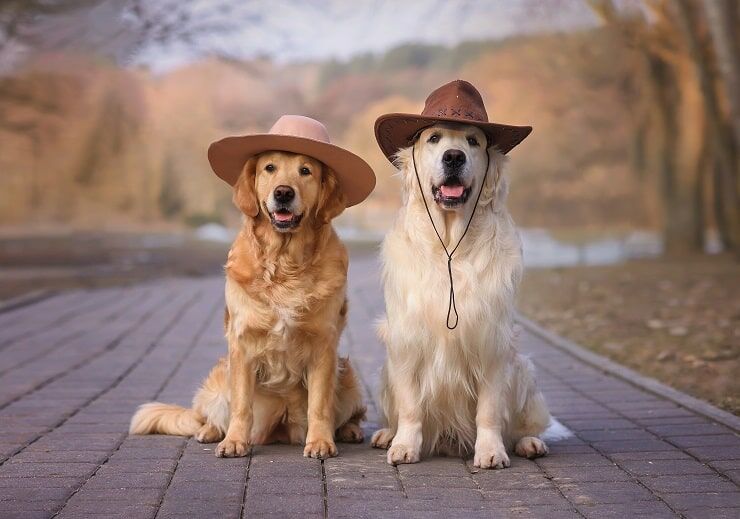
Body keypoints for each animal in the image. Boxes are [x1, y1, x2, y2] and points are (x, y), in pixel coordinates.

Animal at [370, 124, 548, 470]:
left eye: (473, 141)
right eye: (433, 138)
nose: (453, 157)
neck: (450, 244)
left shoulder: (491, 342)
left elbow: (489, 410)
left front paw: (491, 451)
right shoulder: (407, 341)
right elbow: (410, 407)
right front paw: (404, 445)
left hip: (523, 370)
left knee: (526, 424)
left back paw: (529, 442)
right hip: (385, 373)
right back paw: (386, 434)